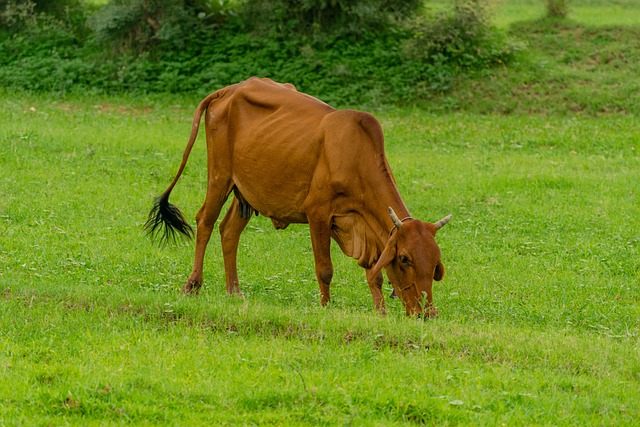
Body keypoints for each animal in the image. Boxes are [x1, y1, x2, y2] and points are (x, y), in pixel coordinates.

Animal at [148, 77, 452, 318]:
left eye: (435, 262)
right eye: (404, 259)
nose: (427, 313)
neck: (356, 157)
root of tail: (229, 89)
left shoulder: (370, 228)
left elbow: (374, 275)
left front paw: (381, 312)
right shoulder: (318, 214)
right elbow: (325, 269)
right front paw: (326, 308)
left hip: (245, 192)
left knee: (229, 231)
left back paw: (234, 291)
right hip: (219, 176)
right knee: (205, 222)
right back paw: (192, 285)